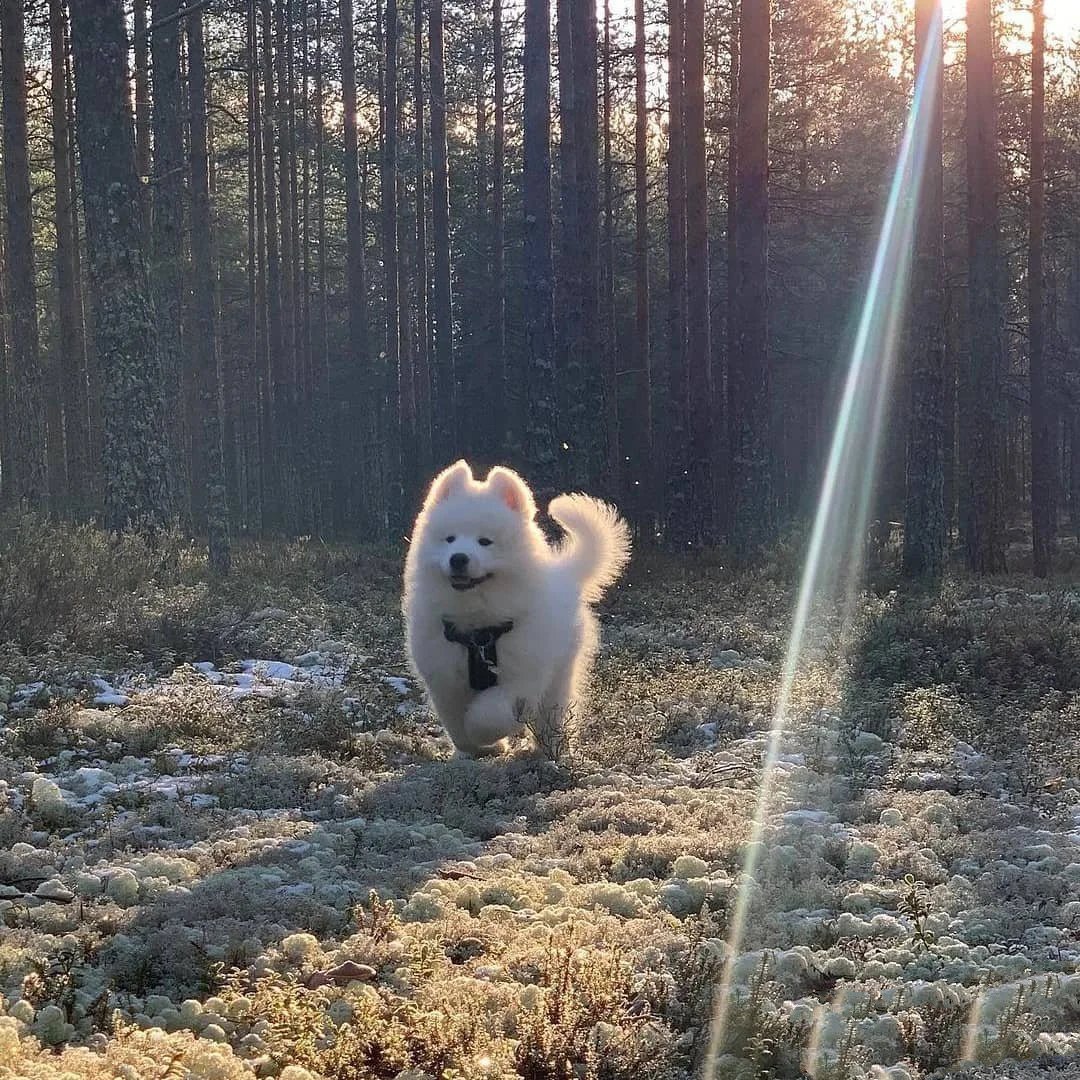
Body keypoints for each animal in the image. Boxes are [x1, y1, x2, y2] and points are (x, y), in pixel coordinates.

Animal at [401, 460, 630, 756]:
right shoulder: (445, 677)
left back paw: (551, 748)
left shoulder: (522, 677)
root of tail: (564, 572)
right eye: (449, 539)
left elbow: (488, 715)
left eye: (485, 541)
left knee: (553, 711)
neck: (478, 626)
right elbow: (455, 721)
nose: (458, 559)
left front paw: (485, 736)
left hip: (560, 670)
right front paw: (475, 748)